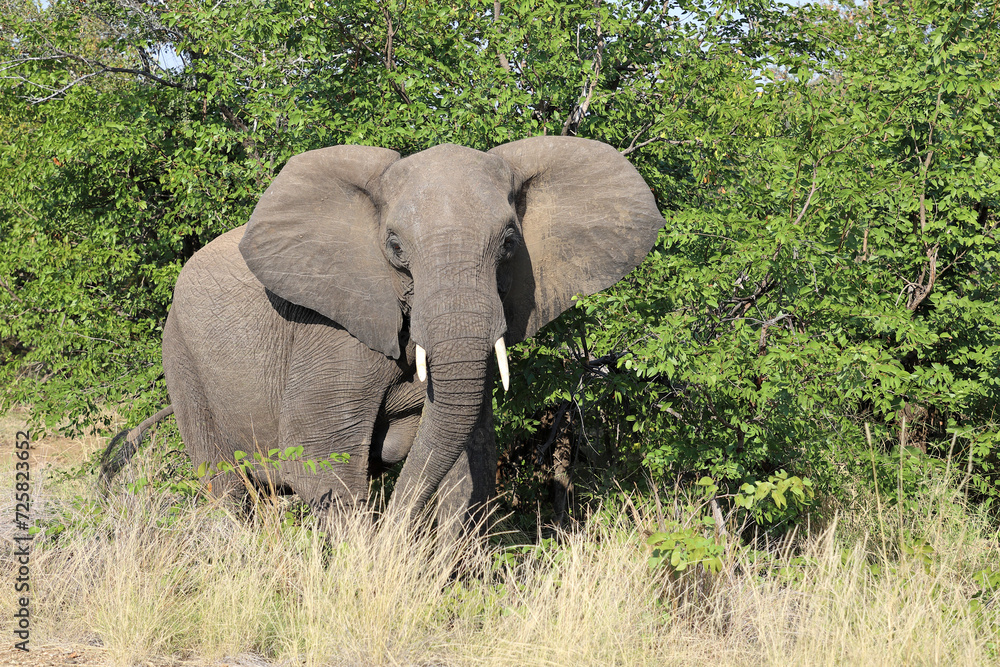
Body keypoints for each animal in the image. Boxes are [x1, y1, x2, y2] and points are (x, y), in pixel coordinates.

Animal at [108, 136, 664, 534]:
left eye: (509, 242)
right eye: (395, 247)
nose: (395, 528)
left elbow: (469, 461)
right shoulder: (332, 334)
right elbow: (321, 463)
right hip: (181, 356)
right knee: (224, 485)